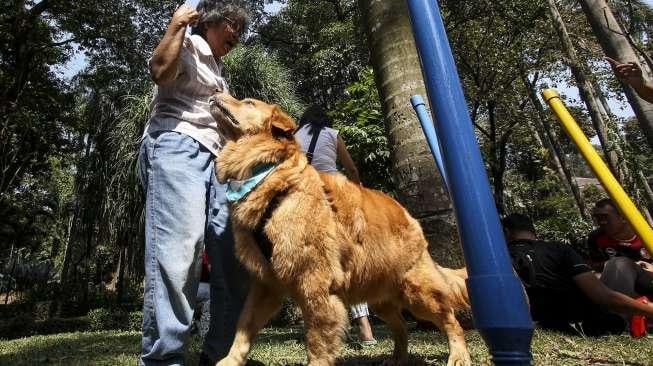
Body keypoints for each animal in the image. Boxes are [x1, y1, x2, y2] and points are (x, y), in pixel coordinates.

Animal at [209, 93, 468, 364]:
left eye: (248, 102)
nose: (215, 93)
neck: (271, 177)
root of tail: (408, 215)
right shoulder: (266, 285)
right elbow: (243, 327)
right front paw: (230, 360)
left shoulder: (316, 284)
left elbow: (317, 340)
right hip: (378, 295)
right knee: (401, 326)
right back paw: (397, 358)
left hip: (417, 293)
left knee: (450, 320)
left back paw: (458, 355)